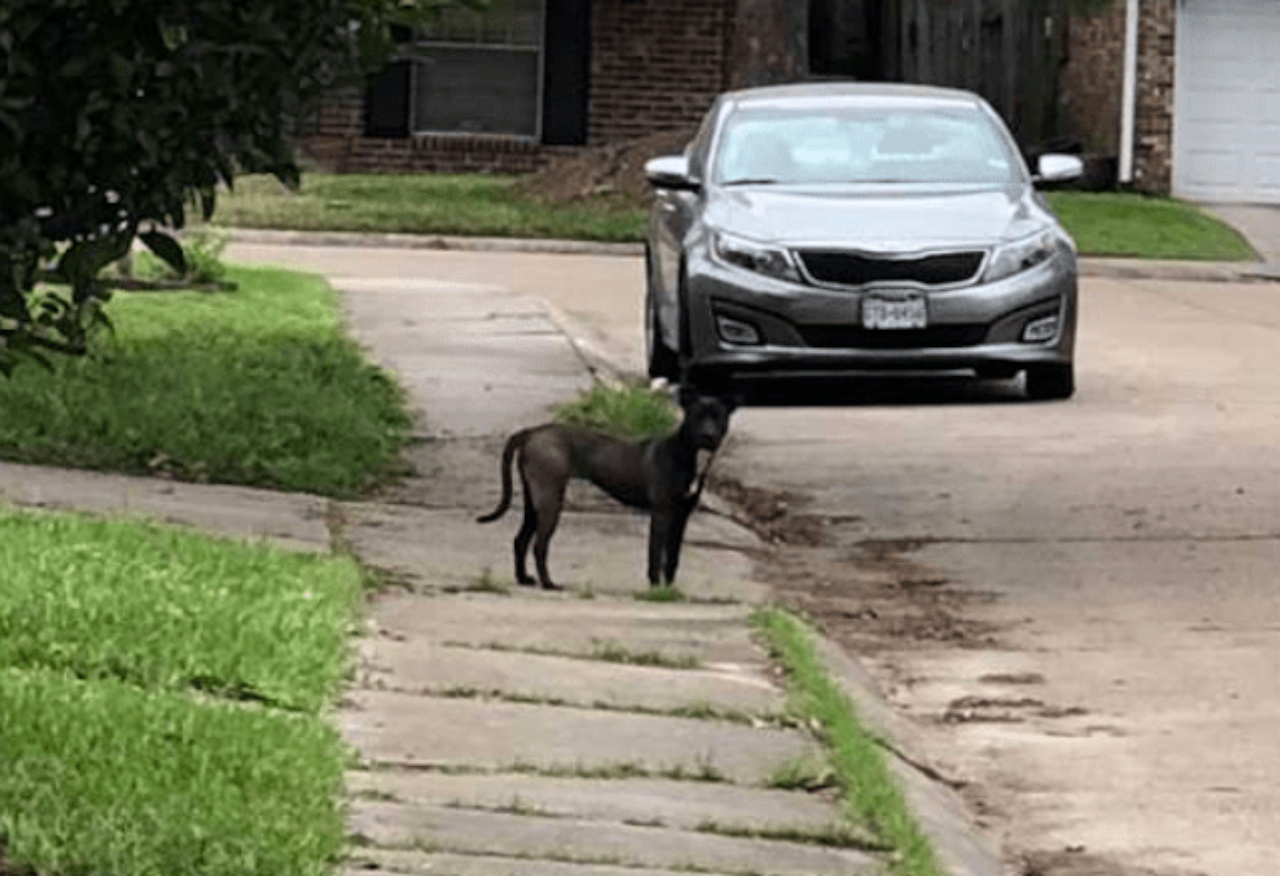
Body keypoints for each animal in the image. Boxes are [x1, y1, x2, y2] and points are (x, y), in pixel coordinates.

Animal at [473, 394, 732, 591]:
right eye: (697, 416)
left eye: (717, 416)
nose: (708, 434)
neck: (686, 453)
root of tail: (532, 432)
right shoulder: (661, 513)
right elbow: (655, 554)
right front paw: (656, 589)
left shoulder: (681, 516)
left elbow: (673, 557)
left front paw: (670, 590)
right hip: (550, 501)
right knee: (539, 545)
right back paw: (549, 584)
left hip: (533, 501)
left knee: (520, 540)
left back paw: (524, 579)